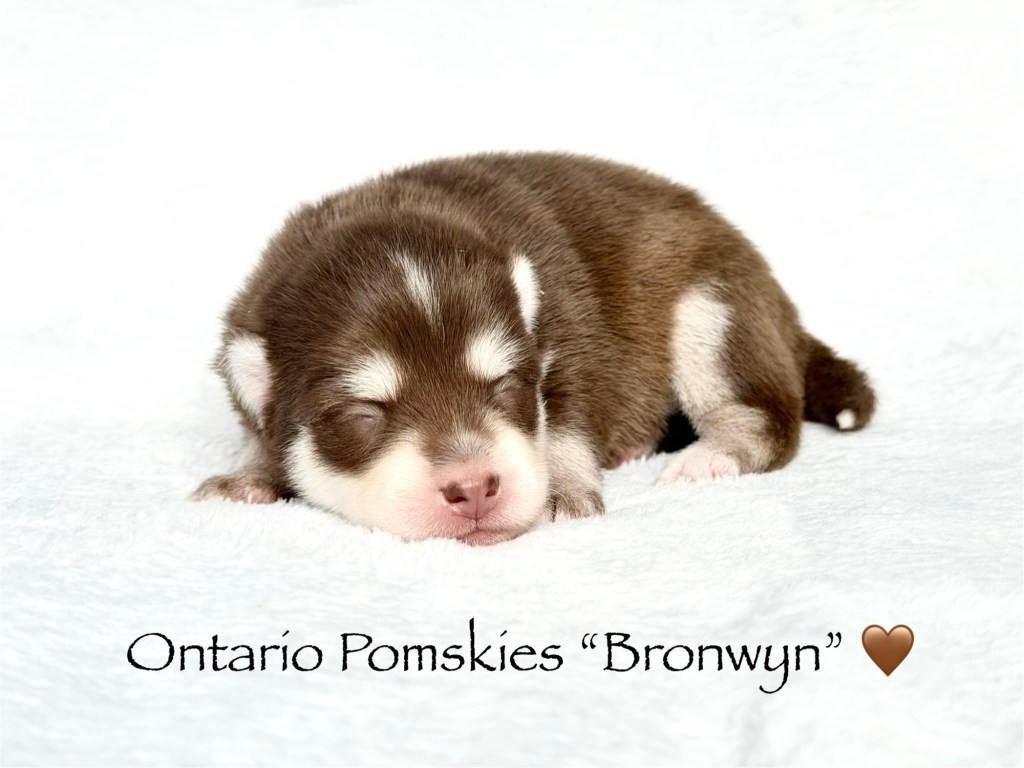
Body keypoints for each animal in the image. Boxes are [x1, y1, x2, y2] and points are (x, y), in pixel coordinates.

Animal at [192, 153, 876, 545]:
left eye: (506, 388)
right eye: (363, 414)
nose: (473, 487)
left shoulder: (569, 337)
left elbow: (567, 421)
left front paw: (559, 486)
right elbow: (258, 431)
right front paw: (251, 475)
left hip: (715, 306)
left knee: (764, 416)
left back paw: (710, 456)